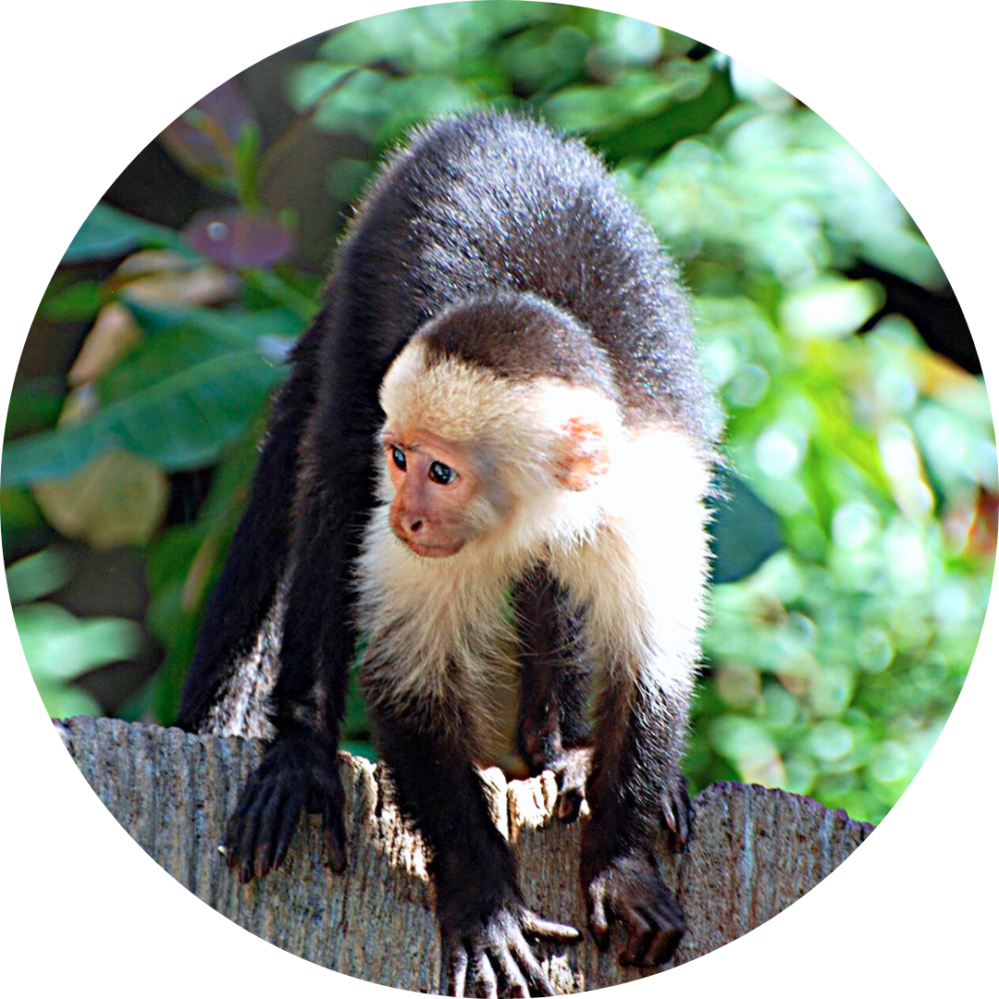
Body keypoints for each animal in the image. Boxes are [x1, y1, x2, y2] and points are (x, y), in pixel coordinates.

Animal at [177, 111, 717, 996]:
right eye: (401, 458)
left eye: (442, 471)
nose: (406, 513)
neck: (541, 504)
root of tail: (484, 121)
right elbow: (408, 681)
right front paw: (484, 899)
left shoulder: (645, 503)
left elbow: (650, 672)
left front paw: (622, 862)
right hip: (366, 279)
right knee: (333, 477)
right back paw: (301, 747)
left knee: (545, 591)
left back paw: (559, 745)